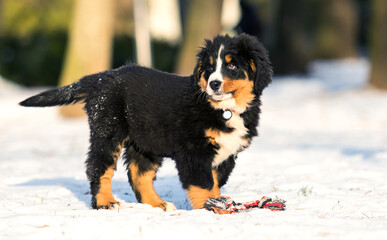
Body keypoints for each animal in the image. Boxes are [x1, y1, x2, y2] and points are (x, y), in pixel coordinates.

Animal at [19, 33, 272, 210]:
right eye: (209, 68)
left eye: (232, 65)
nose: (214, 83)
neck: (223, 109)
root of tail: (101, 77)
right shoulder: (194, 151)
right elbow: (204, 185)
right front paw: (212, 210)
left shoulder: (226, 156)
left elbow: (215, 184)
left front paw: (219, 205)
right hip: (108, 130)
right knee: (99, 167)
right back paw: (105, 203)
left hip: (145, 141)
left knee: (139, 175)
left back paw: (157, 204)